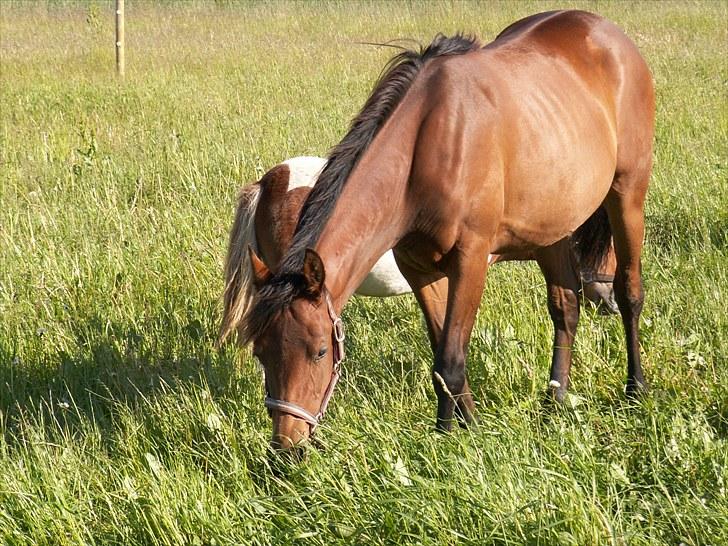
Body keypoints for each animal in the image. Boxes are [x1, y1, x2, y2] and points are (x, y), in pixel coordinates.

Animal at [223, 10, 656, 448]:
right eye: (261, 352)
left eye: (319, 352)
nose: (286, 448)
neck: (431, 146)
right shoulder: (421, 270)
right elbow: (443, 357)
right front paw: (462, 429)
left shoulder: (470, 261)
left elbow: (449, 359)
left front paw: (453, 438)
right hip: (556, 224)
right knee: (567, 309)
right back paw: (555, 403)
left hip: (627, 196)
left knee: (631, 293)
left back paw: (635, 388)